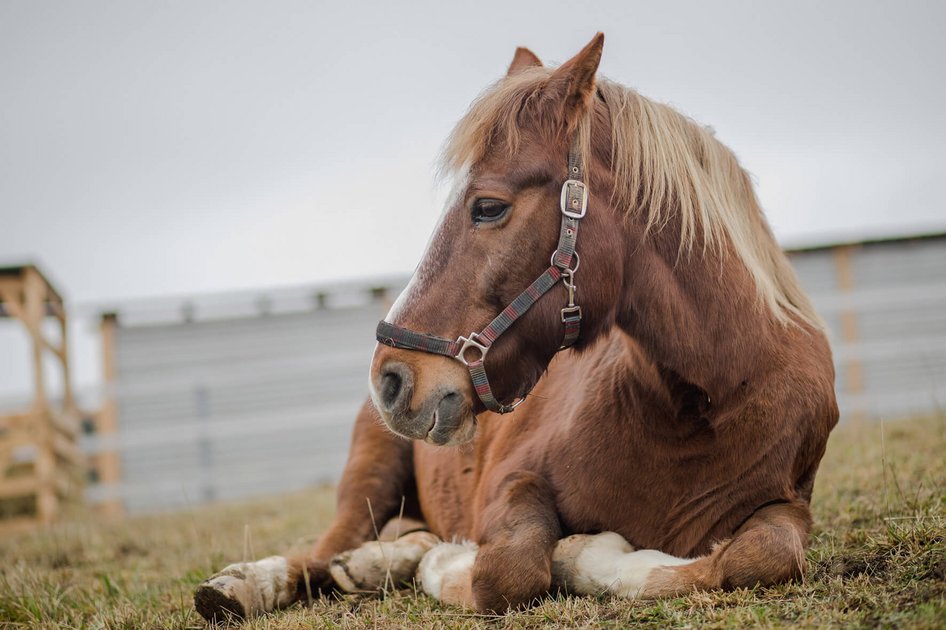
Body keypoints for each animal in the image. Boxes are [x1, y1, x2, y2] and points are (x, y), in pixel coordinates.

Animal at [190, 32, 832, 624]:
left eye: (488, 207)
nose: (391, 379)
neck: (697, 405)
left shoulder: (788, 503)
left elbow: (760, 557)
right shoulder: (510, 479)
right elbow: (509, 569)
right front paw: (471, 562)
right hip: (369, 475)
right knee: (322, 552)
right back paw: (248, 584)